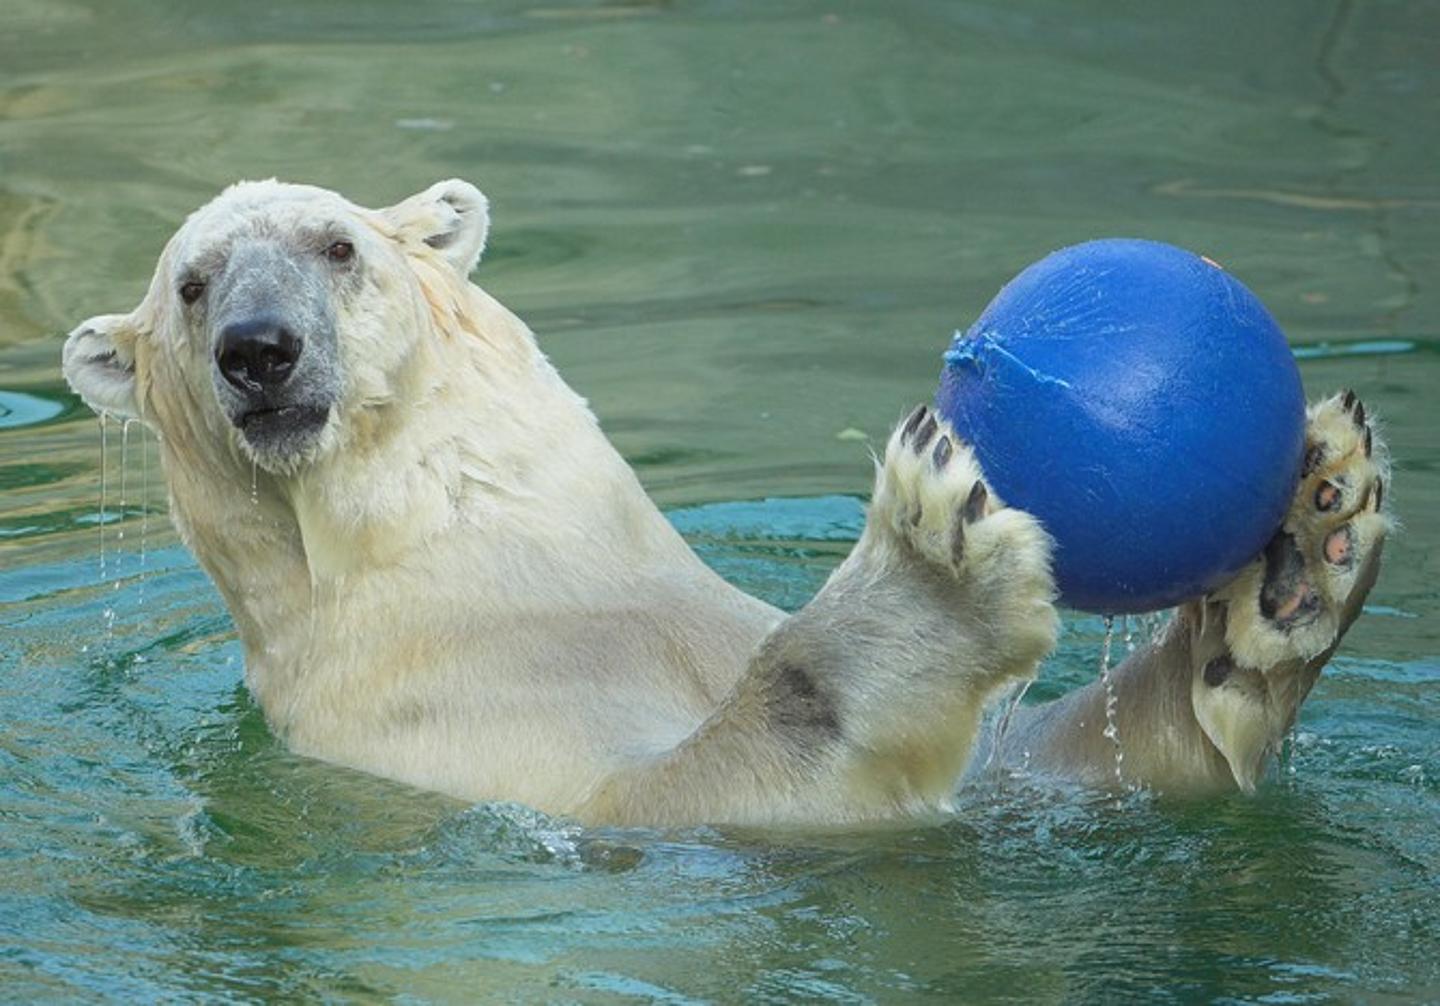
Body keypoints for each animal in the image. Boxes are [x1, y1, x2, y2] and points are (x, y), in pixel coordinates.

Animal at [59, 179, 1393, 828]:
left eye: (336, 247)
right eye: (192, 285)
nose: (259, 349)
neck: (507, 578)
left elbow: (1045, 766)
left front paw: (1309, 543)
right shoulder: (449, 744)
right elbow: (704, 781)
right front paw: (929, 569)